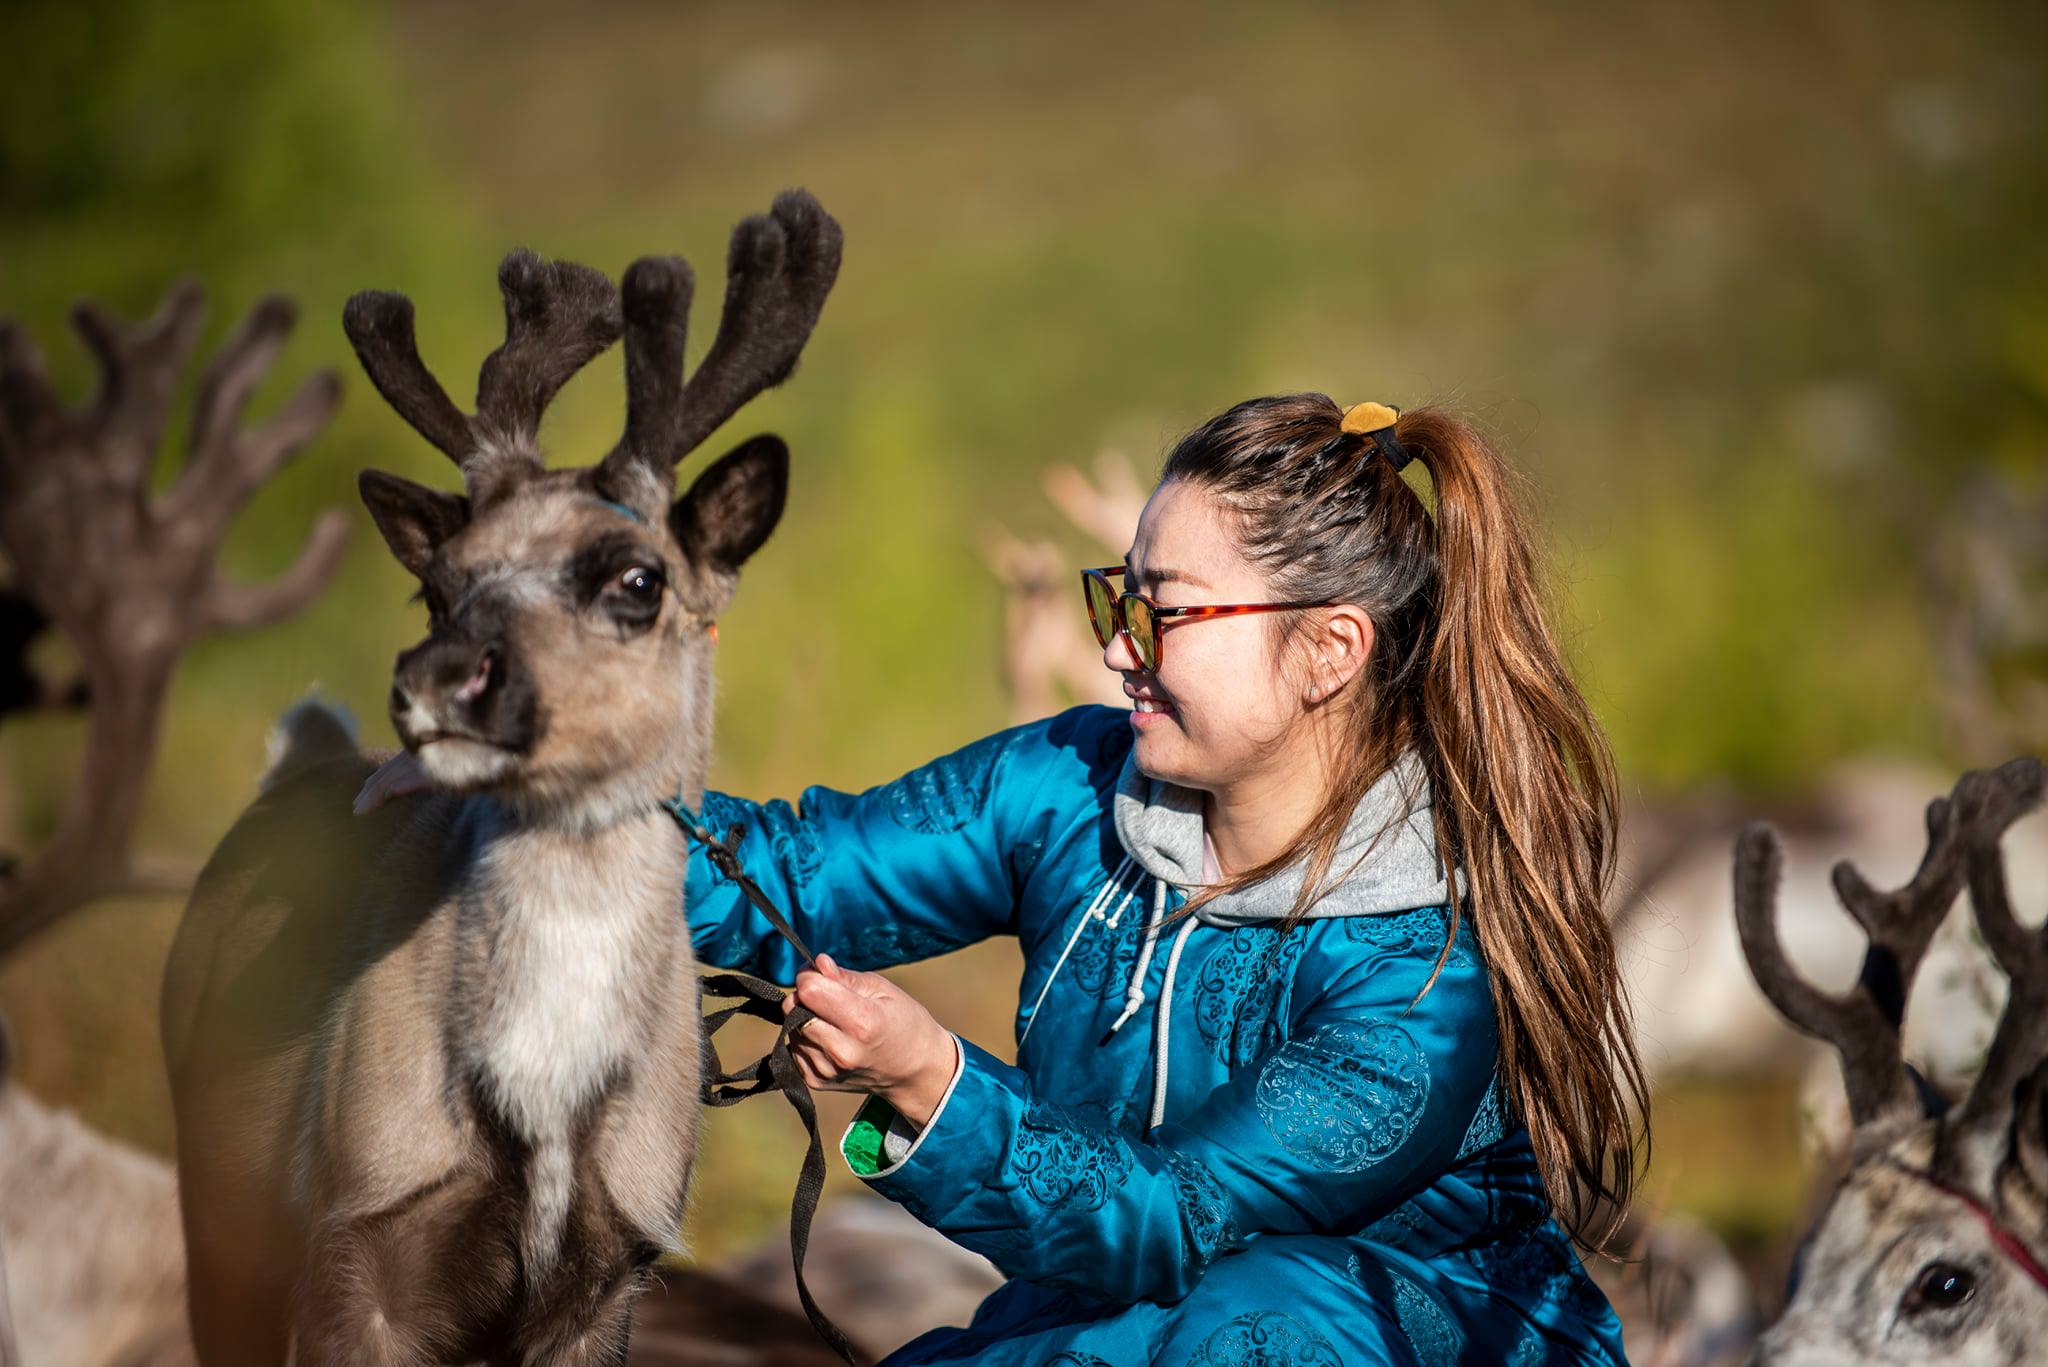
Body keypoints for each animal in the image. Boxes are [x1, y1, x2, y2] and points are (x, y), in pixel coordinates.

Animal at [159, 189, 842, 1365]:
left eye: (636, 579)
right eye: (437, 587)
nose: (432, 681)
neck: (546, 1099)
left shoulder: (611, 1271)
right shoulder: (356, 1236)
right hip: (219, 1216)